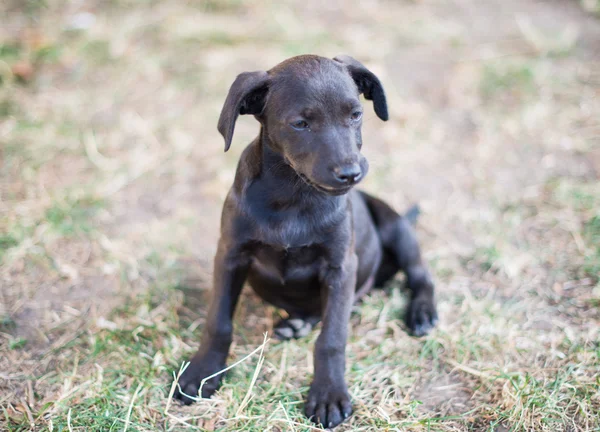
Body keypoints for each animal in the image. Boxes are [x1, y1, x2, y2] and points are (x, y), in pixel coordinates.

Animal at [176, 54, 438, 428]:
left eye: (355, 114)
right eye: (300, 124)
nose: (350, 173)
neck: (293, 196)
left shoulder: (341, 267)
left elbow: (332, 338)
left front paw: (328, 394)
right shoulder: (229, 255)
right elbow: (218, 321)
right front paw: (203, 373)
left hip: (395, 226)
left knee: (420, 276)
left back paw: (422, 313)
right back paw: (298, 323)